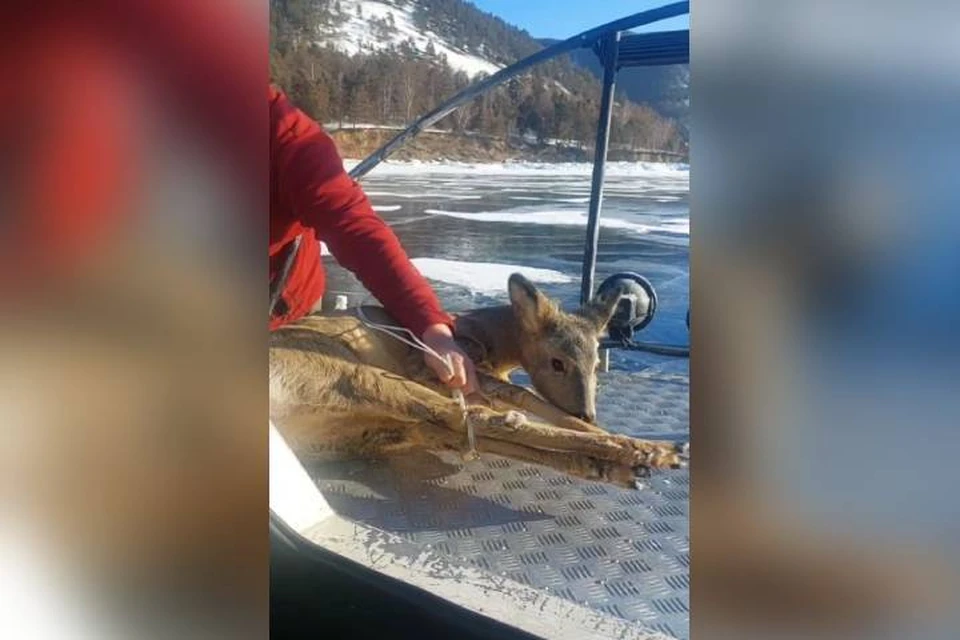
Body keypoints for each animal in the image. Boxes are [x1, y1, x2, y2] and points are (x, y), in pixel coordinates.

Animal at [270, 272, 688, 488]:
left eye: (596, 361)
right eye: (557, 362)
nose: (588, 413)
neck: (483, 337)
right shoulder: (445, 369)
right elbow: (527, 398)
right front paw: (638, 445)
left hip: (373, 429)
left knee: (467, 429)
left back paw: (615, 466)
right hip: (353, 375)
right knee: (475, 419)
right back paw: (649, 452)